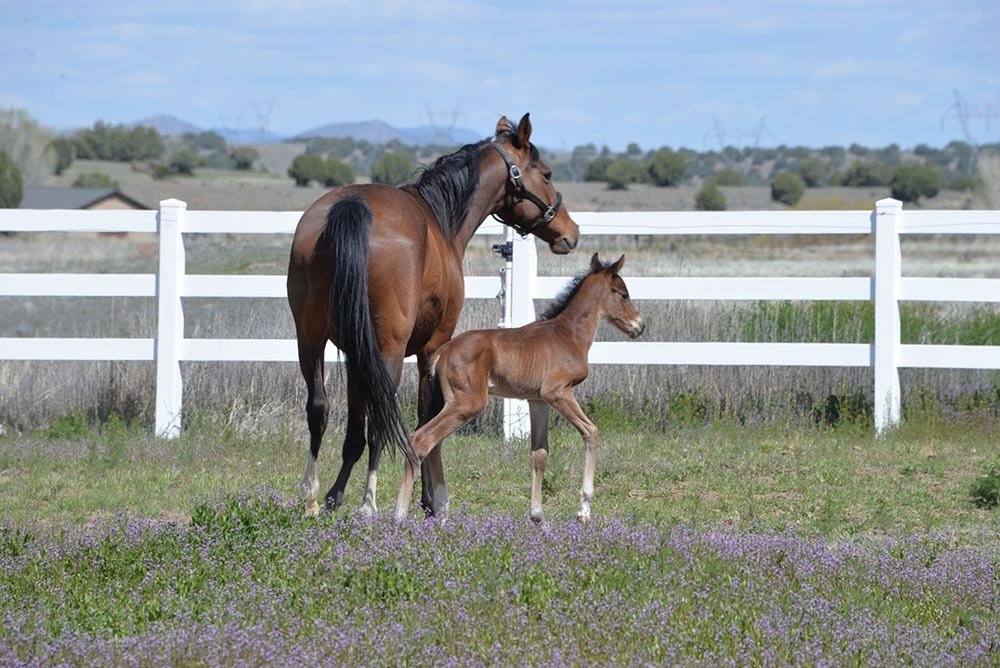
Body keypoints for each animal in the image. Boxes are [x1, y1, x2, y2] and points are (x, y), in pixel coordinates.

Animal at [287, 113, 580, 518]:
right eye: (547, 174)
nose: (571, 232)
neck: (441, 219)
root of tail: (351, 207)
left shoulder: (354, 352)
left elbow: (354, 428)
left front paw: (335, 496)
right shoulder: (432, 348)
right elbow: (427, 416)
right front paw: (432, 498)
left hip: (311, 340)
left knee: (319, 409)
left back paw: (312, 498)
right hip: (388, 348)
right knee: (383, 416)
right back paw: (369, 503)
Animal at [395, 253, 644, 524]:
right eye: (623, 294)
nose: (639, 326)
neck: (568, 335)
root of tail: (441, 353)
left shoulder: (538, 400)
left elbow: (540, 452)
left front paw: (537, 516)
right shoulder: (558, 392)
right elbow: (591, 432)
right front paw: (583, 512)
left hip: (451, 402)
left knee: (434, 443)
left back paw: (440, 510)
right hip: (468, 402)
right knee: (422, 439)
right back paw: (400, 515)